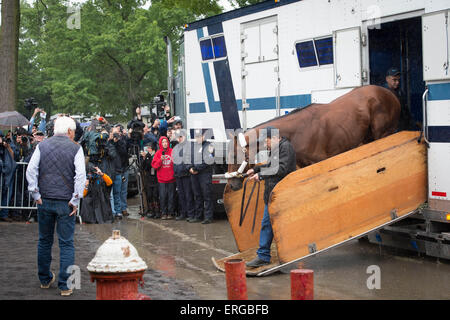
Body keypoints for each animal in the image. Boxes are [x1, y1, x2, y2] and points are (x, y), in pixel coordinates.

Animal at [229, 85, 400, 190]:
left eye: (236, 156)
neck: (299, 131)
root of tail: (391, 95)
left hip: (382, 134)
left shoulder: (319, 162)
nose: (231, 184)